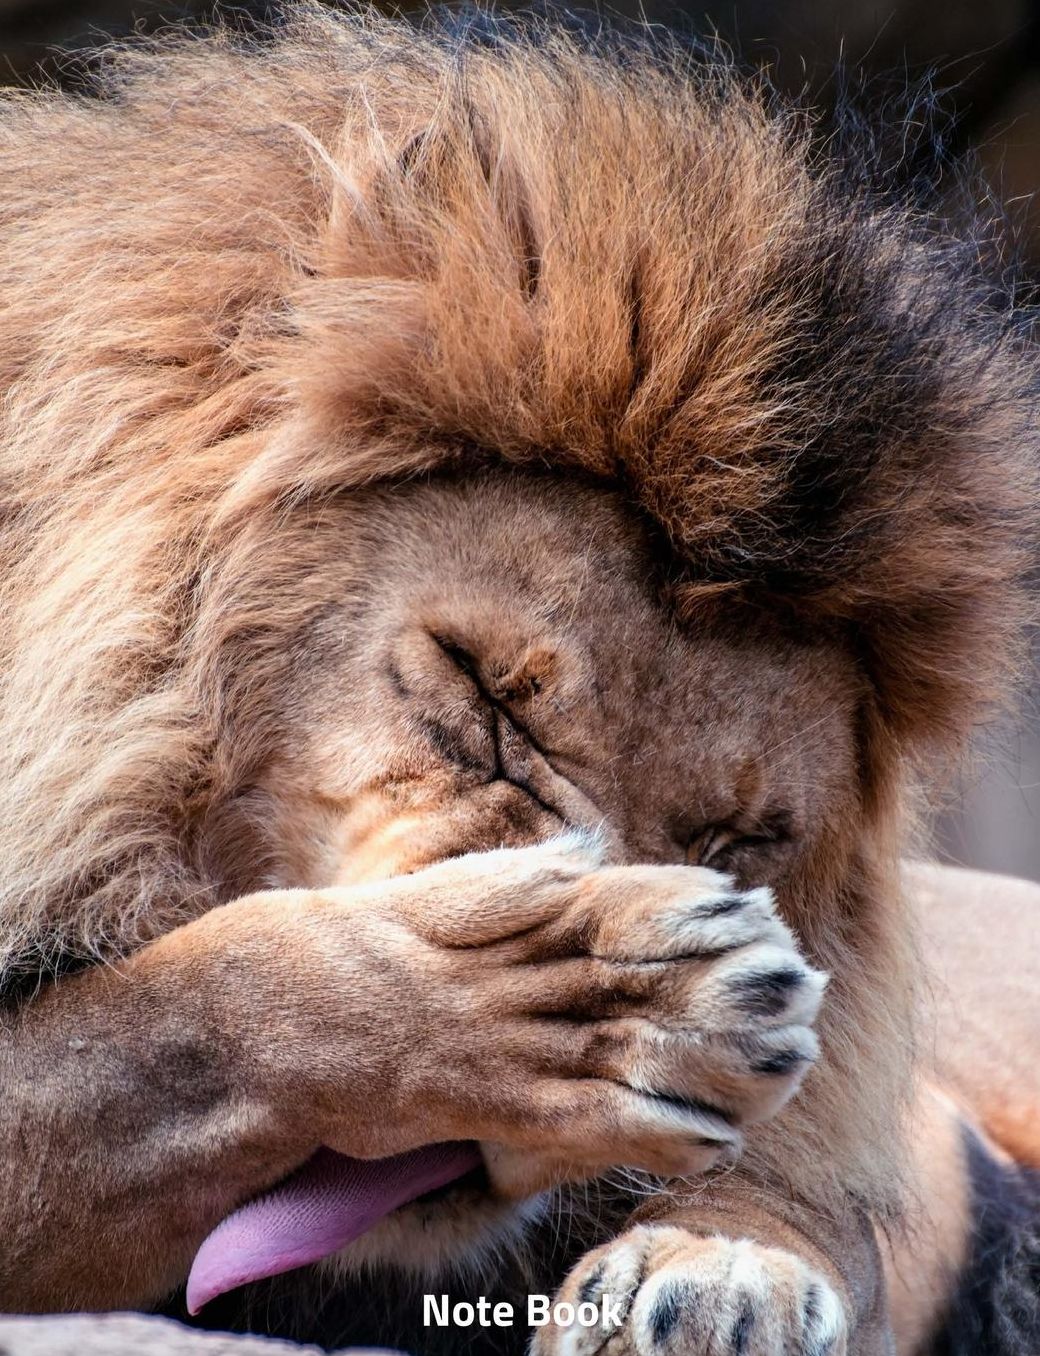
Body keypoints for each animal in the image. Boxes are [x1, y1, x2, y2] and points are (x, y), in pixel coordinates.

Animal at [0, 6, 1037, 1355]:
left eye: (744, 840)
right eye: (481, 698)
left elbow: (823, 1194)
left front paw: (719, 1264)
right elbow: (187, 1015)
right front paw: (594, 995)